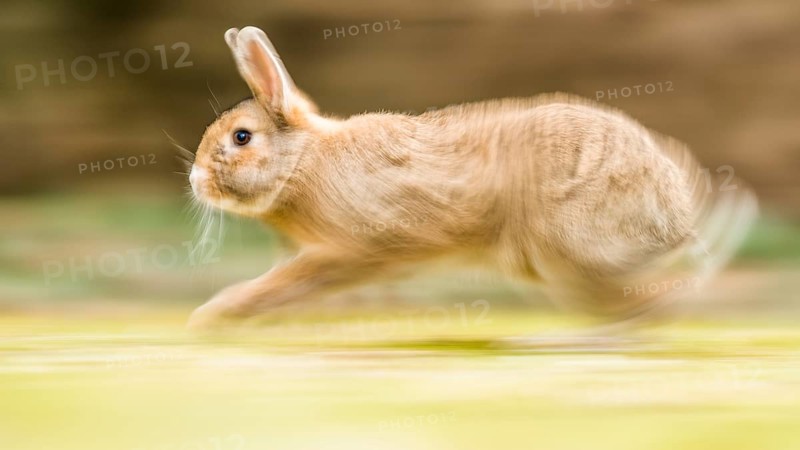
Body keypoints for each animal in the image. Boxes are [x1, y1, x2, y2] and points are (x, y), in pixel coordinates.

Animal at [186, 26, 758, 330]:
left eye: (241, 138)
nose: (194, 180)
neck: (305, 163)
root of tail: (674, 216)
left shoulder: (350, 251)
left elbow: (283, 286)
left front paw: (216, 317)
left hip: (568, 252)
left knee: (652, 305)